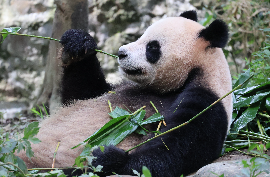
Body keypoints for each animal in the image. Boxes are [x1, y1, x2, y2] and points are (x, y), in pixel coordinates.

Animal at [17, 11, 232, 177]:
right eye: (141, 36)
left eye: (152, 47)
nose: (121, 53)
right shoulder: (118, 88)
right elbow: (83, 93)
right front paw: (77, 44)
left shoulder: (208, 100)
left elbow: (177, 150)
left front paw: (106, 158)